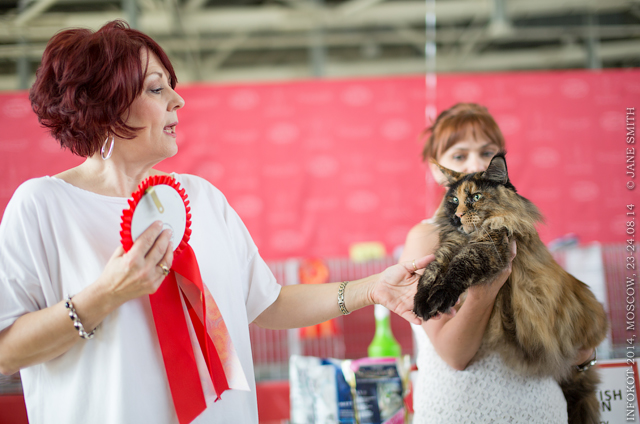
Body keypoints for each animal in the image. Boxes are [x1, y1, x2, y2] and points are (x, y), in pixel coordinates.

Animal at [412, 152, 608, 424]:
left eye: (475, 197)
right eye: (453, 200)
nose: (457, 215)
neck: (468, 237)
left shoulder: (488, 247)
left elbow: (456, 271)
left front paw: (440, 297)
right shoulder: (448, 247)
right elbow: (430, 273)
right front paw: (421, 302)